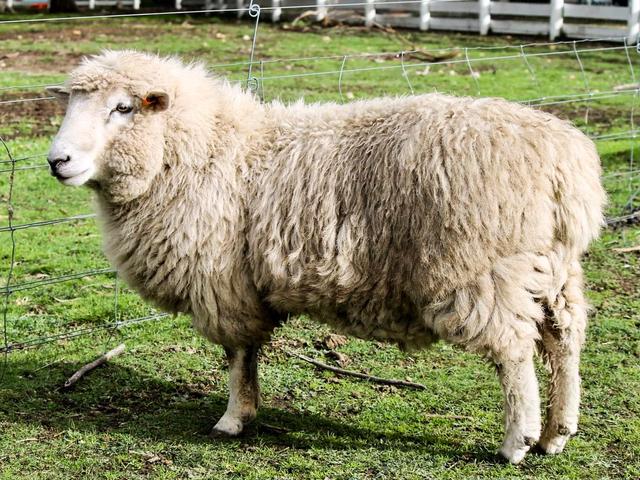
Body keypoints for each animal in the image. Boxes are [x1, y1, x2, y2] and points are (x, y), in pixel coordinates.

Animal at [46, 50, 605, 464]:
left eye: (124, 108)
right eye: (71, 105)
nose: (57, 161)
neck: (203, 150)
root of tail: (565, 164)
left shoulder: (224, 283)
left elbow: (237, 355)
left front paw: (232, 419)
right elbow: (248, 354)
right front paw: (246, 412)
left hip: (481, 270)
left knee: (514, 352)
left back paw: (517, 442)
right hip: (553, 267)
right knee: (563, 339)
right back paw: (558, 432)